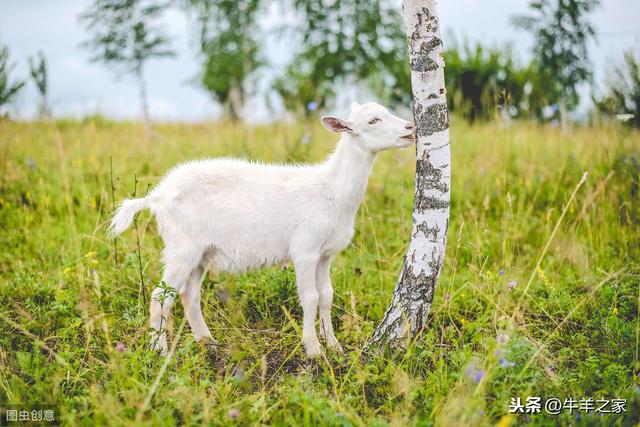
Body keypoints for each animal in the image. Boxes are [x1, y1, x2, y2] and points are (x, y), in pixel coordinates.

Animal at [109, 101, 416, 358]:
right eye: (373, 120)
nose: (411, 128)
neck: (333, 190)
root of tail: (157, 196)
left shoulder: (325, 254)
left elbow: (327, 296)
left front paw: (334, 345)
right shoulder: (305, 250)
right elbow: (310, 297)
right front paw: (314, 350)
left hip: (201, 252)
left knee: (189, 295)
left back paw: (207, 342)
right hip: (181, 246)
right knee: (160, 296)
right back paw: (159, 350)